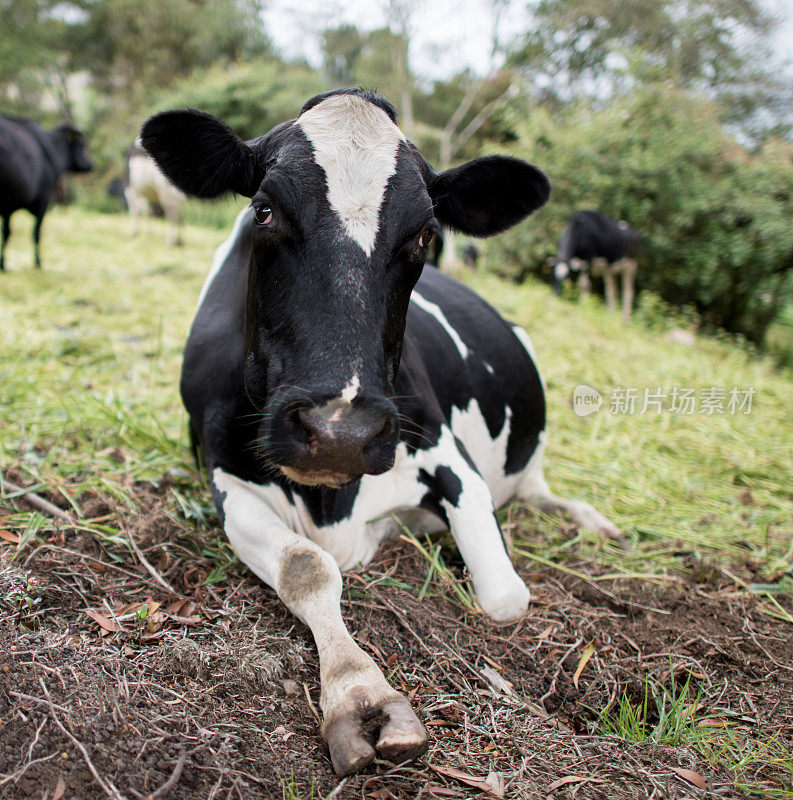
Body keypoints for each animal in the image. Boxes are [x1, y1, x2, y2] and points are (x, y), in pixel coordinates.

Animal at [0, 115, 93, 272]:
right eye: (81, 145)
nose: (90, 165)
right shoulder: (43, 202)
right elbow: (36, 233)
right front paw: (38, 262)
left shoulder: (8, 207)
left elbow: (6, 233)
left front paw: (2, 263)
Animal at [139, 90, 616, 780]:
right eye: (264, 210)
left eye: (424, 234)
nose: (338, 430)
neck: (329, 502)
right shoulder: (223, 471)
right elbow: (307, 568)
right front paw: (360, 693)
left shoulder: (451, 460)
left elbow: (504, 597)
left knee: (538, 490)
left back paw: (592, 519)